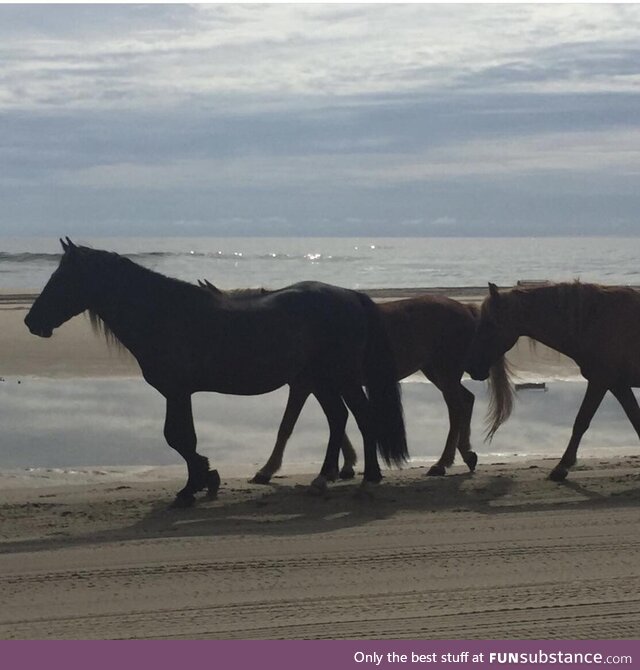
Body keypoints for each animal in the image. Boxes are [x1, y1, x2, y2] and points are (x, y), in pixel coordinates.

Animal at [198, 280, 512, 486]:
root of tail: (466, 309)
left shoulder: (305, 385)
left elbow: (288, 426)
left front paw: (268, 470)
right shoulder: (320, 385)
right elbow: (337, 422)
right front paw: (345, 465)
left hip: (443, 371)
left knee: (457, 406)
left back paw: (443, 462)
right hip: (436, 372)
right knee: (465, 401)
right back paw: (464, 455)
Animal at [464, 282, 640, 484]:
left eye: (489, 324)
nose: (471, 366)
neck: (595, 320)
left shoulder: (601, 382)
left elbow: (581, 421)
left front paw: (561, 467)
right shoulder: (617, 385)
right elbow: (635, 418)